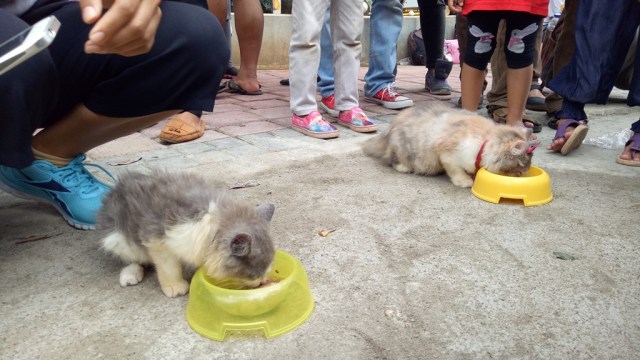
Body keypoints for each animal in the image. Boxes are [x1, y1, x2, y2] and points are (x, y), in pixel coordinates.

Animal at [97, 170, 276, 296]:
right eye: (254, 275)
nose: (262, 282)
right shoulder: (158, 239)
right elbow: (168, 267)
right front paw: (175, 287)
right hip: (119, 240)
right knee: (134, 259)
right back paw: (130, 275)